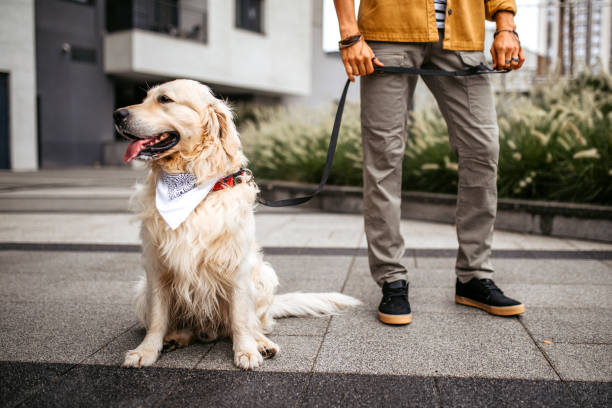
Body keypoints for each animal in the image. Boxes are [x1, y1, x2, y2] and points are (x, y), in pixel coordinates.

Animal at [113, 79, 360, 370]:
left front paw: (246, 351)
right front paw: (146, 350)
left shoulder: (237, 265)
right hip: (141, 290)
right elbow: (157, 319)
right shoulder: (156, 266)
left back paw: (261, 343)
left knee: (253, 323)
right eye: (144, 98)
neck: (194, 184)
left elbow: (241, 318)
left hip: (264, 275)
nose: (117, 114)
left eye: (165, 99)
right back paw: (176, 336)